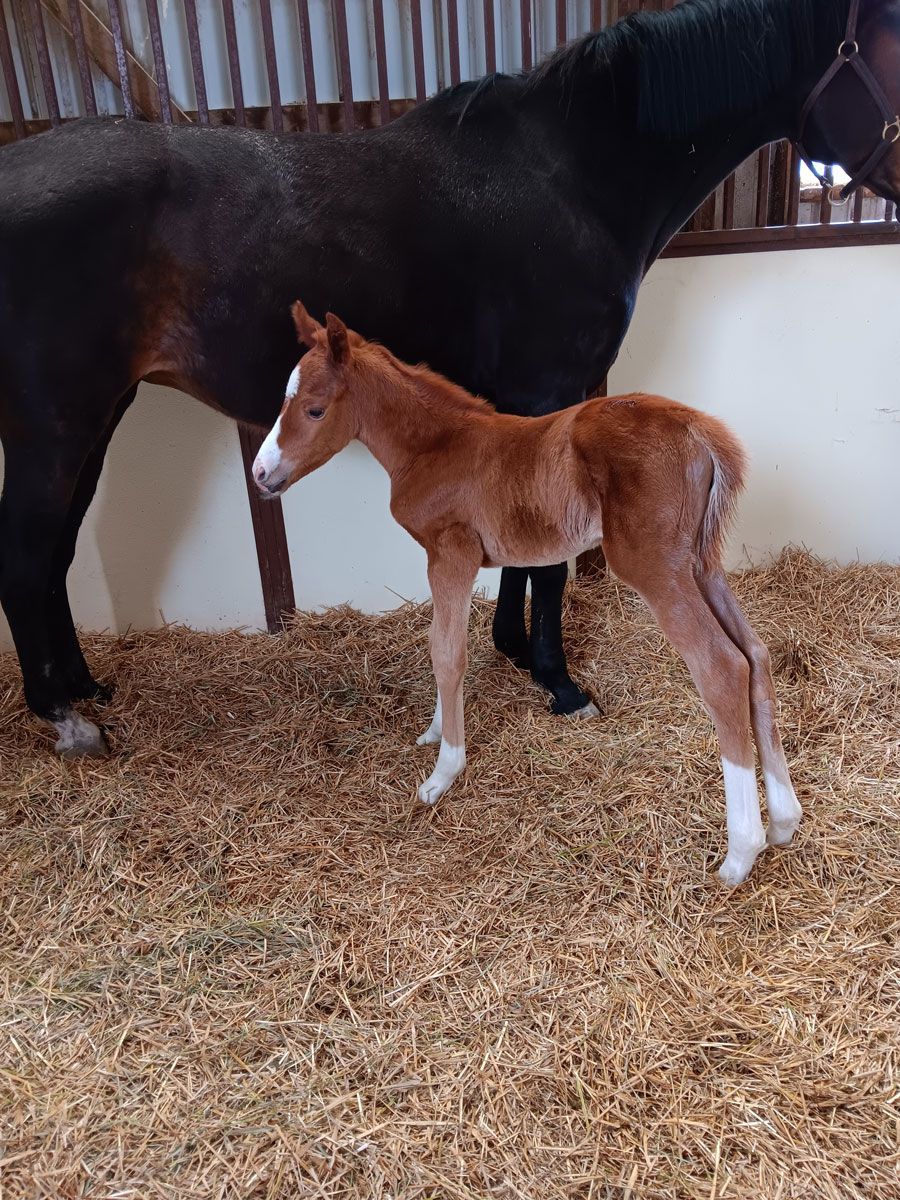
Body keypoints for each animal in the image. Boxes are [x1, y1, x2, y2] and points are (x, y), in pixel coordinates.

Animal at [1, 0, 898, 757]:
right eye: (894, 46)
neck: (573, 173)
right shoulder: (552, 383)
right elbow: (549, 555)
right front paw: (559, 682)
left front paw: (514, 651)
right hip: (56, 422)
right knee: (28, 550)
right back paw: (66, 721)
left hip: (98, 414)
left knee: (55, 554)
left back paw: (87, 687)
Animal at [251, 301, 802, 887]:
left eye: (314, 409)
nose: (261, 473)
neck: (435, 445)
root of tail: (699, 430)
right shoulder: (447, 559)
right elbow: (441, 641)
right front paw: (435, 729)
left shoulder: (452, 552)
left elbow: (447, 650)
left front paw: (443, 773)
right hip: (701, 562)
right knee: (755, 654)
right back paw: (784, 820)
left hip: (655, 566)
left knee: (721, 667)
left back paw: (740, 853)